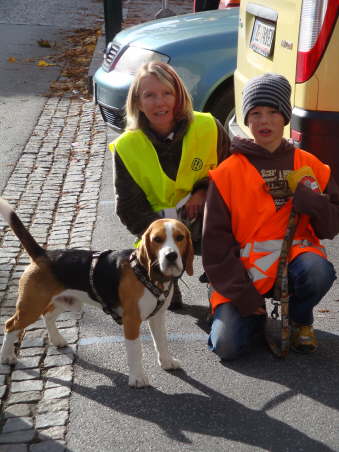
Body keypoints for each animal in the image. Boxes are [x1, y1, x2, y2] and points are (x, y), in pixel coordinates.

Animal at [0, 200, 194, 386]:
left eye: (180, 237)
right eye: (157, 239)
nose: (171, 256)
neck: (147, 274)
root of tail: (43, 254)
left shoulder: (157, 317)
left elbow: (161, 342)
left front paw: (166, 362)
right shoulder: (131, 321)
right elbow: (136, 351)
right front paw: (138, 378)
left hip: (66, 301)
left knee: (47, 315)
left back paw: (57, 340)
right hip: (30, 307)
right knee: (11, 325)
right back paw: (7, 356)